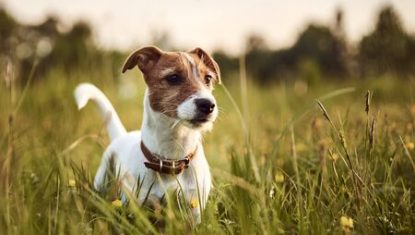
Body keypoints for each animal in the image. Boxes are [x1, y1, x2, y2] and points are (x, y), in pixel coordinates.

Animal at [74, 46, 221, 224]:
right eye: (173, 77)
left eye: (208, 78)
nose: (208, 105)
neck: (172, 159)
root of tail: (121, 135)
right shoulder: (138, 207)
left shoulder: (194, 209)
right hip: (102, 179)